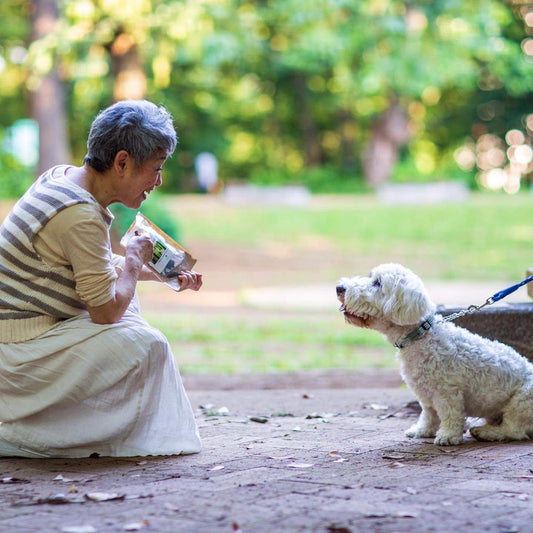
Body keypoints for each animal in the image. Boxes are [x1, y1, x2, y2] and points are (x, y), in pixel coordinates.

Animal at [334, 262, 532, 444]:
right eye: (371, 276)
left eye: (378, 283)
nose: (339, 287)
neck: (420, 335)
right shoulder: (426, 393)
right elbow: (429, 414)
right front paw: (422, 431)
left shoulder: (447, 391)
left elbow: (450, 414)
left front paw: (448, 436)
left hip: (521, 401)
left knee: (514, 429)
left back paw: (488, 432)